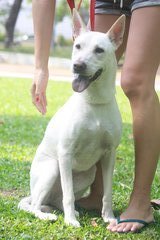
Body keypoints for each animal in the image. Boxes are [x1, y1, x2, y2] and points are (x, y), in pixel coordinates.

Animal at [17, 9, 125, 227]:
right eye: (78, 46)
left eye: (99, 50)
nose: (77, 65)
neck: (94, 101)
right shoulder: (65, 154)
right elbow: (69, 195)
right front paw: (70, 221)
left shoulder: (110, 154)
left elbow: (107, 192)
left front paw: (108, 216)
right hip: (52, 169)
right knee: (35, 205)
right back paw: (48, 214)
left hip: (89, 174)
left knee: (55, 199)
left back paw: (63, 209)